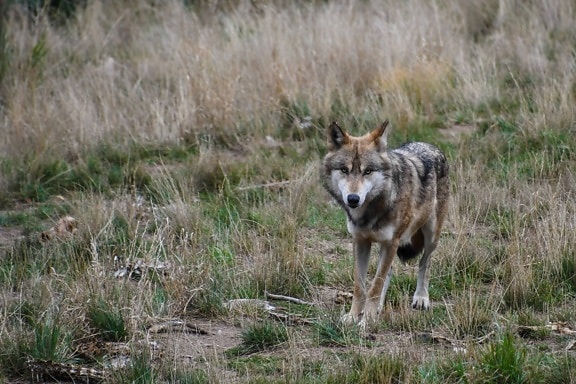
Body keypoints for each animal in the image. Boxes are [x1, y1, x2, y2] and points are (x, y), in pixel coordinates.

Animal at [320, 120, 450, 324]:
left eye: (368, 171)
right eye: (344, 170)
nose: (353, 199)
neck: (370, 213)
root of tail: (429, 145)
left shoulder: (391, 242)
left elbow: (374, 286)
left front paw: (366, 322)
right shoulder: (360, 241)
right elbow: (361, 286)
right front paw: (353, 317)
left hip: (431, 236)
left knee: (424, 263)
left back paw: (421, 298)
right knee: (388, 273)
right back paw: (378, 308)